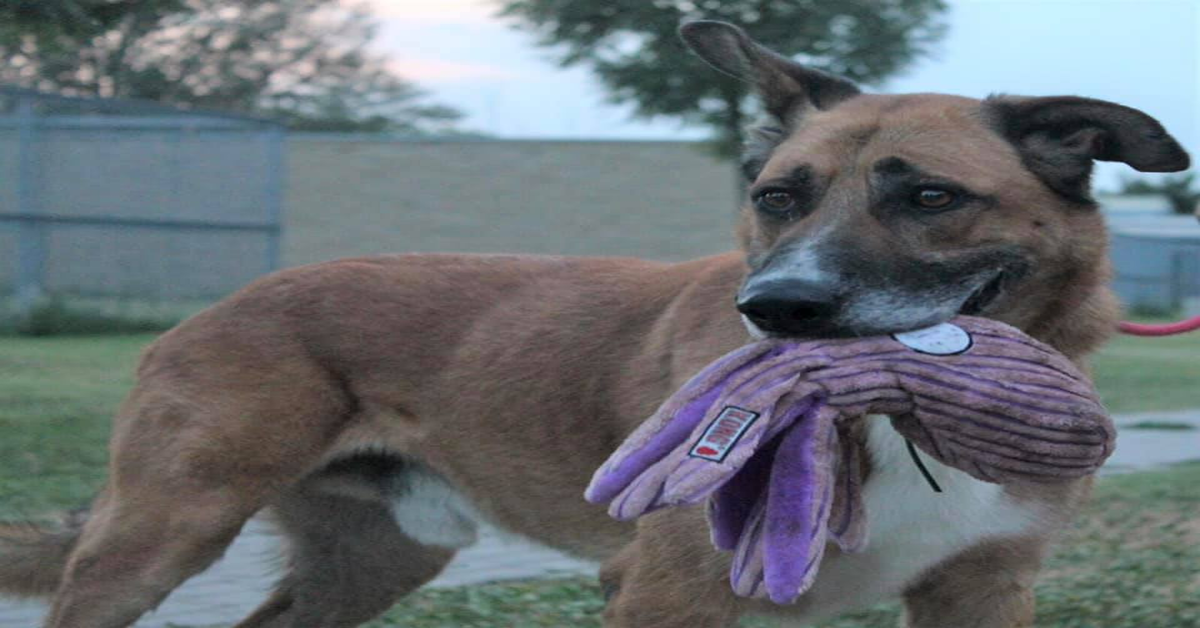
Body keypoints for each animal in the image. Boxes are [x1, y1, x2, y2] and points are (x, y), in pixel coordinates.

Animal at [2, 19, 1190, 628]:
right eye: (777, 196)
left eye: (932, 198)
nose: (776, 311)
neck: (898, 422)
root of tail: (226, 300)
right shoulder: (668, 590)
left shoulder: (980, 589)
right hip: (162, 533)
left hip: (379, 558)